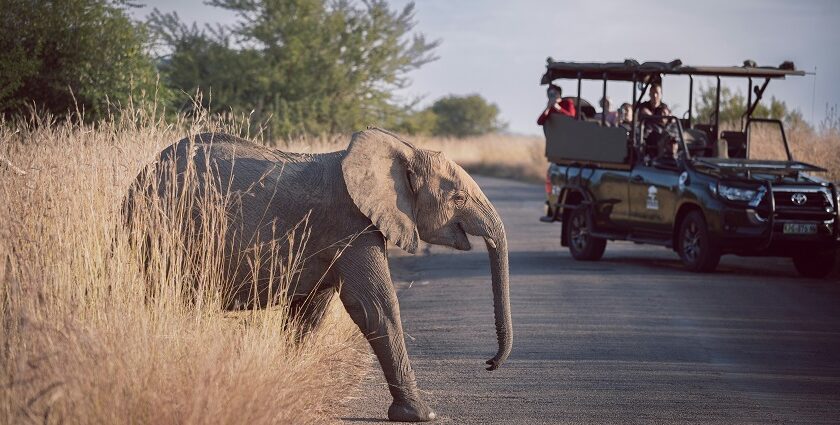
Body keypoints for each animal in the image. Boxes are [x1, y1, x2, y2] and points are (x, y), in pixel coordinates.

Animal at [126, 127, 512, 420]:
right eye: (458, 197)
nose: (489, 364)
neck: (402, 149)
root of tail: (139, 178)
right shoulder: (350, 223)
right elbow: (374, 306)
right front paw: (420, 415)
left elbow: (310, 311)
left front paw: (286, 382)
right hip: (164, 230)